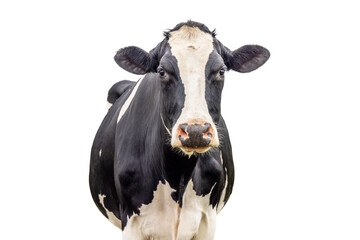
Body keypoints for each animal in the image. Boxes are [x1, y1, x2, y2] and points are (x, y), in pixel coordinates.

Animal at [89, 21, 270, 240]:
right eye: (162, 71)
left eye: (221, 71)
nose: (195, 131)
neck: (178, 174)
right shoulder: (131, 222)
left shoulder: (207, 220)